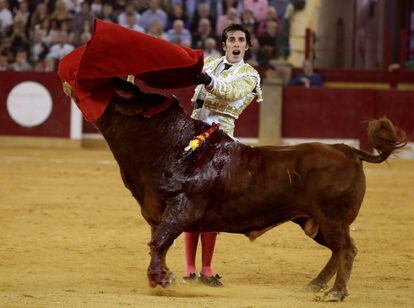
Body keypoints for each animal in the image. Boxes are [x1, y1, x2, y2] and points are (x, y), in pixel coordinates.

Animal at [92, 77, 406, 300]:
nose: (113, 79)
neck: (174, 145)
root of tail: (347, 150)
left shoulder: (181, 209)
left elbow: (159, 242)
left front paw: (161, 280)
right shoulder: (158, 213)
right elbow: (161, 243)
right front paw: (166, 277)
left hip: (333, 218)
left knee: (347, 249)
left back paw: (336, 293)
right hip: (314, 222)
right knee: (337, 251)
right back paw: (315, 285)